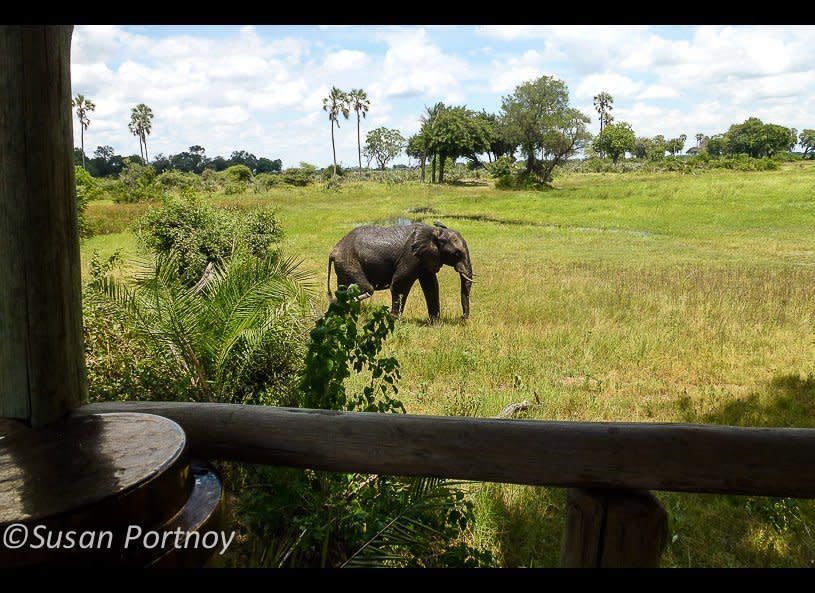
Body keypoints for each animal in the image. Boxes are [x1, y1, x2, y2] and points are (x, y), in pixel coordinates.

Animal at [328, 220, 474, 320]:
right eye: (456, 254)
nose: (462, 317)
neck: (434, 231)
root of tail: (333, 251)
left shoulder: (426, 257)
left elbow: (431, 286)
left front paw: (435, 323)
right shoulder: (411, 256)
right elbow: (400, 283)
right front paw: (393, 320)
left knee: (343, 290)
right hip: (350, 263)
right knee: (367, 289)